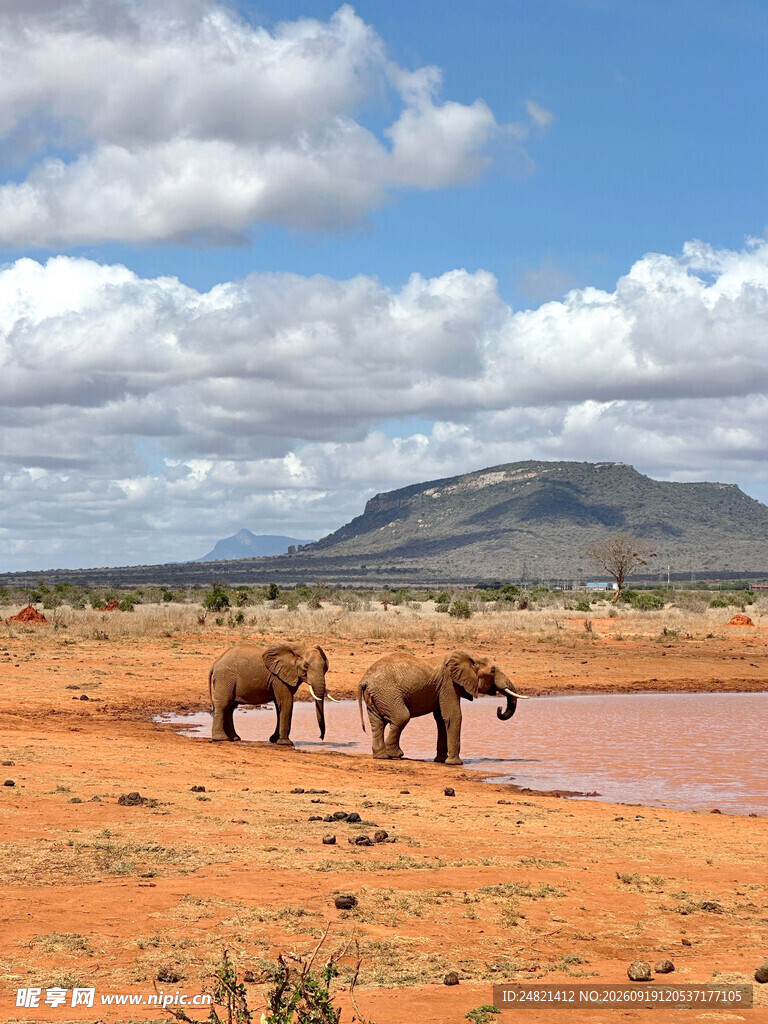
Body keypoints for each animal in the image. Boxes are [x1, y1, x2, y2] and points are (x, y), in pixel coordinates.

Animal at [208, 642, 338, 746]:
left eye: (325, 668)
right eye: (306, 666)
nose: (321, 737)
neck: (298, 648)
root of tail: (215, 663)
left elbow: (278, 705)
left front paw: (274, 740)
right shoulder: (278, 678)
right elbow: (286, 702)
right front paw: (286, 743)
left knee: (230, 707)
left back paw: (234, 738)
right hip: (225, 678)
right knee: (224, 704)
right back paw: (220, 739)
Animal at [357, 650, 528, 765]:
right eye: (492, 671)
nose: (499, 708)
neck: (468, 656)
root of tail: (364, 680)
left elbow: (441, 719)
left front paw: (440, 760)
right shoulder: (449, 683)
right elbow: (453, 715)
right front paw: (455, 763)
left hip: (377, 695)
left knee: (377, 723)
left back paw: (382, 756)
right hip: (387, 693)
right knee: (401, 717)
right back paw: (396, 754)